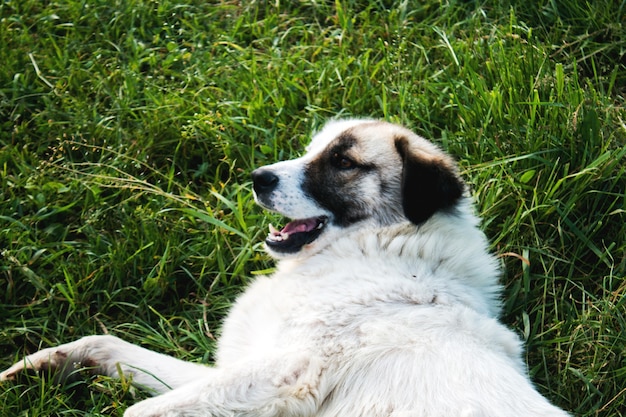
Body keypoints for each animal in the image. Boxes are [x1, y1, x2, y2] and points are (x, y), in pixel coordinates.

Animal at [0, 118, 568, 414]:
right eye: (312, 149)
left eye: (342, 162)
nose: (256, 177)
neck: (380, 251)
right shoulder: (241, 371)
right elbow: (112, 347)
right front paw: (45, 364)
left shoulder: (285, 373)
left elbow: (137, 410)